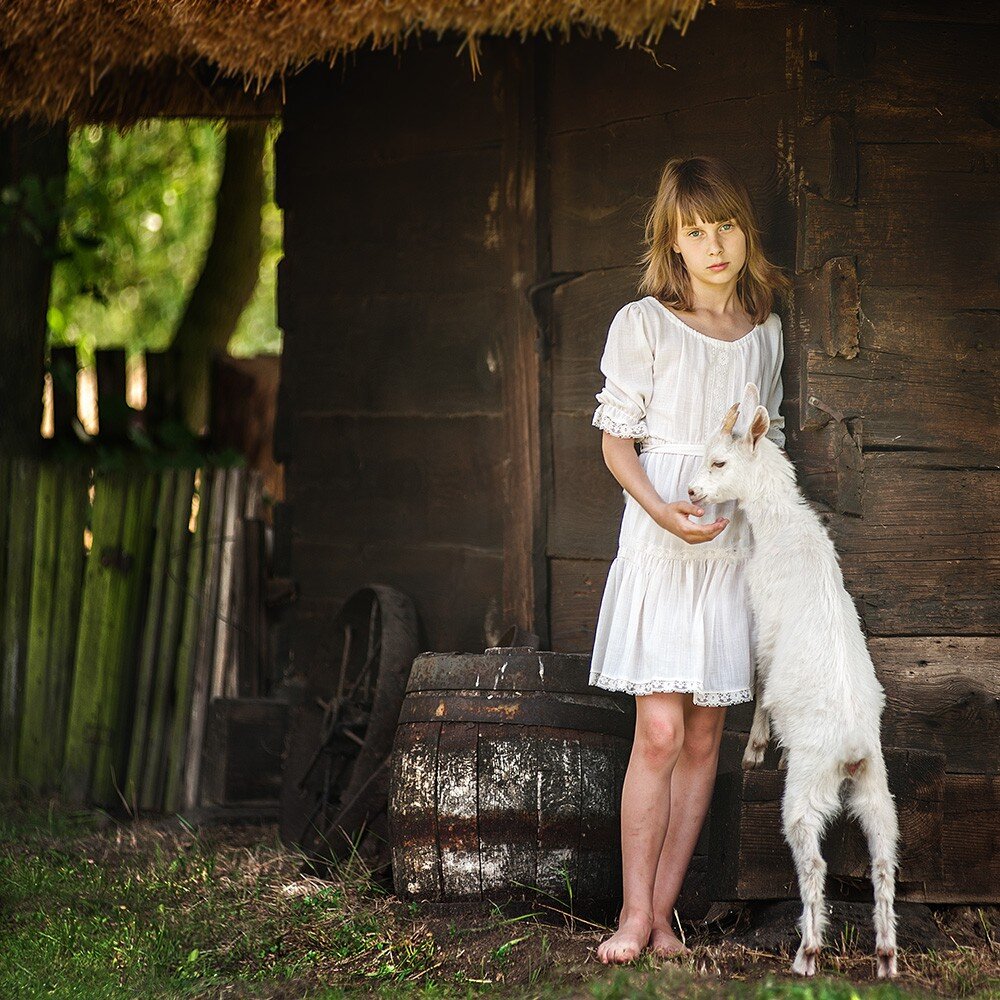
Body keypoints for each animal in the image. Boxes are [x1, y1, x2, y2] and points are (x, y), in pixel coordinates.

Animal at [688, 380, 900, 976]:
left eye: (719, 460)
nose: (691, 492)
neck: (784, 528)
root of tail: (851, 749)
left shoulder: (763, 623)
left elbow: (761, 685)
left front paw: (756, 752)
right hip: (878, 792)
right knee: (883, 861)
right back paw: (886, 956)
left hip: (807, 793)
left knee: (815, 862)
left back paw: (807, 953)